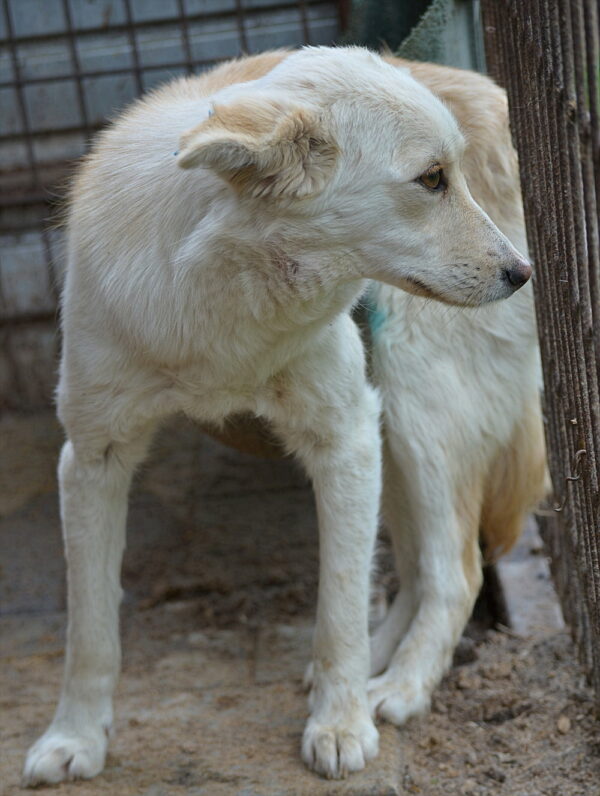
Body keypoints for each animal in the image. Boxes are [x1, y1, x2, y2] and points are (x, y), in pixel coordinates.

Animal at [22, 46, 528, 788]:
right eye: (432, 179)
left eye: (451, 176)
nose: (523, 273)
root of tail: (491, 93)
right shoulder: (92, 455)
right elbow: (88, 629)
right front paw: (74, 739)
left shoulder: (345, 438)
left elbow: (338, 605)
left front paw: (340, 725)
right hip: (397, 432)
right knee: (414, 564)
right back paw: (374, 663)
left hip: (416, 406)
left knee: (455, 570)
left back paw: (398, 688)